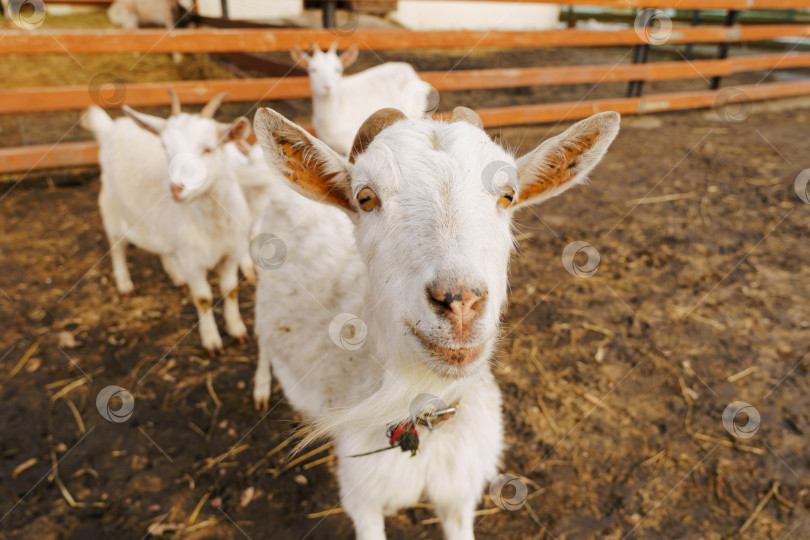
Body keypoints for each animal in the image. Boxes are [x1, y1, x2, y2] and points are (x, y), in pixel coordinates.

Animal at [82, 92, 251, 354]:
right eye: (165, 148)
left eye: (208, 149)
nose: (176, 188)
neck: (213, 224)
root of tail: (113, 127)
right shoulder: (192, 260)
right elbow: (203, 298)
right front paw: (211, 340)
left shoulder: (232, 252)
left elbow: (230, 289)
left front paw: (236, 329)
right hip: (110, 204)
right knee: (116, 246)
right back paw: (125, 283)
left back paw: (176, 277)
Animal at [252, 104, 620, 536]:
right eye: (365, 197)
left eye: (508, 195)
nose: (460, 301)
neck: (425, 415)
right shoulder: (362, 495)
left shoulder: (459, 492)